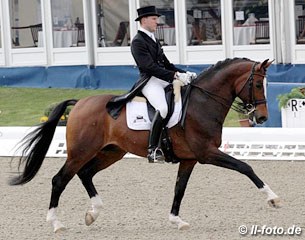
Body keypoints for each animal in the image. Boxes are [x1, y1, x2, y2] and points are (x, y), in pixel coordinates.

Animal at [10, 57, 280, 232]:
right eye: (257, 84)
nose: (262, 118)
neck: (202, 102)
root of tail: (79, 103)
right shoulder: (207, 153)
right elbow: (245, 167)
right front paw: (273, 198)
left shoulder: (190, 159)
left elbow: (179, 189)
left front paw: (176, 220)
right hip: (81, 151)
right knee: (60, 179)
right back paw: (56, 223)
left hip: (111, 152)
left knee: (86, 174)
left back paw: (92, 213)